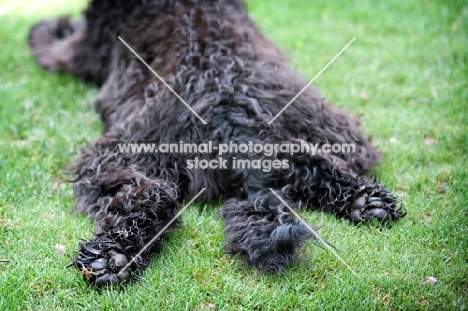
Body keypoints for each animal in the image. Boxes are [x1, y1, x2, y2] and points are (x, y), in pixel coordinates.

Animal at [27, 0, 404, 288]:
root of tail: (231, 122)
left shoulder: (79, 51)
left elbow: (48, 44)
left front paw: (46, 26)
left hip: (121, 152)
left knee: (149, 194)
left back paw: (113, 256)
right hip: (323, 127)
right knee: (311, 161)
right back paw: (365, 200)